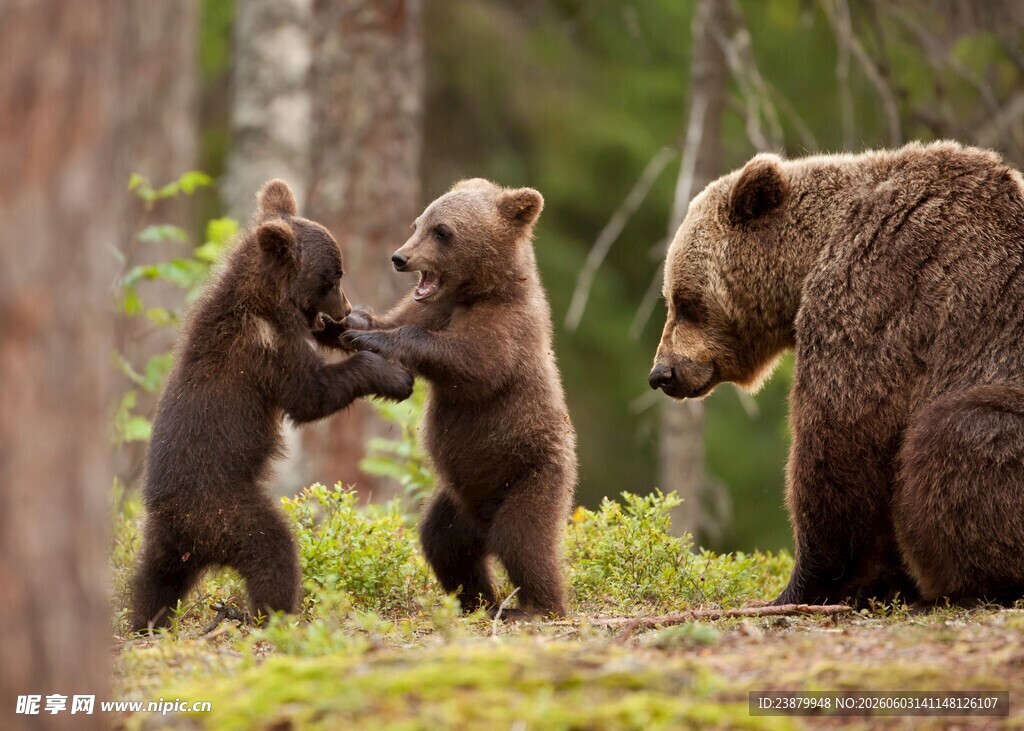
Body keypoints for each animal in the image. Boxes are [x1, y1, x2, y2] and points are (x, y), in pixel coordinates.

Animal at [129, 179, 414, 633]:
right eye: (333, 276)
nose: (345, 308)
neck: (266, 302)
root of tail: (183, 528)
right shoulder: (264, 350)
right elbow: (310, 394)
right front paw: (392, 375)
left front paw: (357, 329)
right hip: (226, 511)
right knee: (272, 550)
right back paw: (276, 613)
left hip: (166, 542)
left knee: (153, 580)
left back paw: (144, 621)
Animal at [336, 178, 578, 618]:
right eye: (418, 222)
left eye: (442, 231)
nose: (400, 257)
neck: (478, 291)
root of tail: (483, 521)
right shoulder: (433, 307)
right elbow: (398, 320)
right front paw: (355, 321)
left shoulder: (508, 328)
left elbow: (472, 363)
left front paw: (374, 338)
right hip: (457, 500)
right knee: (443, 542)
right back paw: (478, 600)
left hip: (532, 474)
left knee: (524, 539)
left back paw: (537, 606)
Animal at [649, 141, 1024, 608]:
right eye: (671, 298)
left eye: (684, 302)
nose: (661, 372)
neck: (810, 255)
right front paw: (878, 581)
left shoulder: (878, 291)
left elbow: (841, 438)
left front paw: (801, 586)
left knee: (954, 433)